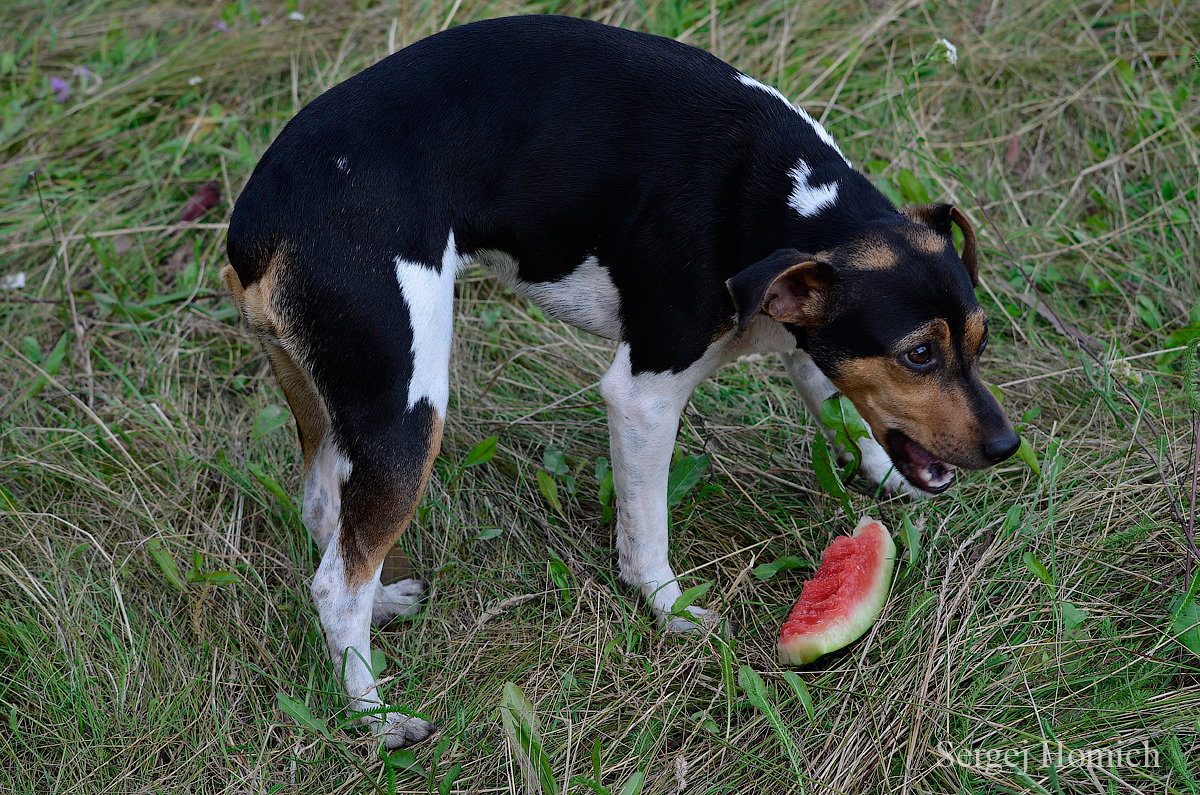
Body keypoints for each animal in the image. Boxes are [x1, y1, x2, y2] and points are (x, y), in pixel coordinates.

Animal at [220, 14, 1017, 749]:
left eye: (979, 342)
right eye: (919, 354)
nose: (1006, 446)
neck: (785, 204)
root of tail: (258, 224)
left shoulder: (804, 339)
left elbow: (846, 414)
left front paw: (887, 476)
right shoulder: (643, 395)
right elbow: (647, 530)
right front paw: (670, 609)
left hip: (340, 408)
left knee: (328, 519)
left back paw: (382, 602)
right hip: (407, 415)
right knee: (334, 585)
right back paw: (375, 717)